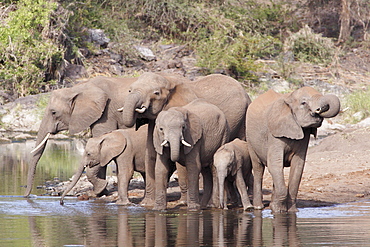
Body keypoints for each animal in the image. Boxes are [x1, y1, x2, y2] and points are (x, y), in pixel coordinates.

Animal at [120, 72, 251, 206]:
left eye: (156, 93)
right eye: (129, 90)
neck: (168, 79)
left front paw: (183, 203)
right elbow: (150, 155)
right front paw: (146, 204)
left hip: (242, 120)